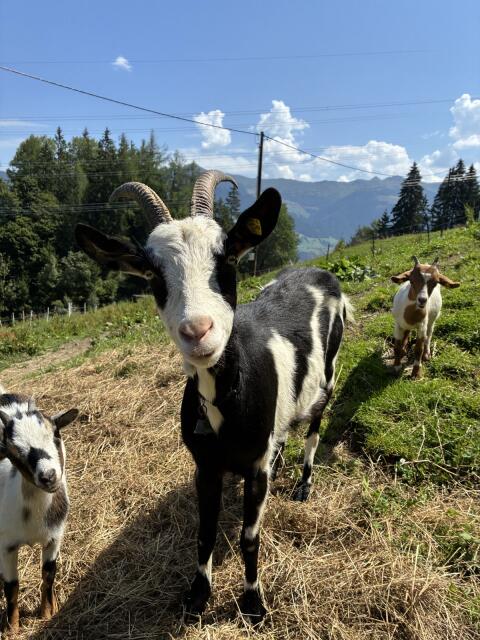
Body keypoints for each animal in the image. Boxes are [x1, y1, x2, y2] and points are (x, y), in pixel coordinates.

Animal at [0, 391, 78, 633]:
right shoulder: (5, 545)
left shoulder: (54, 537)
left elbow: (48, 574)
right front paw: (12, 628)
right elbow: (11, 586)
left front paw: (46, 612)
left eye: (56, 433)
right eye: (12, 452)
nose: (48, 476)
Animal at [75, 171, 352, 622]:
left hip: (327, 370)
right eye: (153, 275)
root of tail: (320, 273)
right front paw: (197, 596)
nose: (197, 331)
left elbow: (248, 538)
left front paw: (254, 603)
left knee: (314, 423)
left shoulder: (254, 469)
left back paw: (304, 485)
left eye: (228, 260)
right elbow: (204, 533)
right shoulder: (204, 466)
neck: (227, 396)